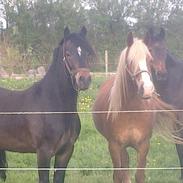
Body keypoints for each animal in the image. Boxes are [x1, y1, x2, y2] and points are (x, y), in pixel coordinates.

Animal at [92, 32, 177, 183]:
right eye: (130, 60)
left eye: (150, 59)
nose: (147, 89)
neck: (131, 111)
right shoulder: (114, 146)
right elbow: (118, 175)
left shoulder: (144, 146)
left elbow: (139, 175)